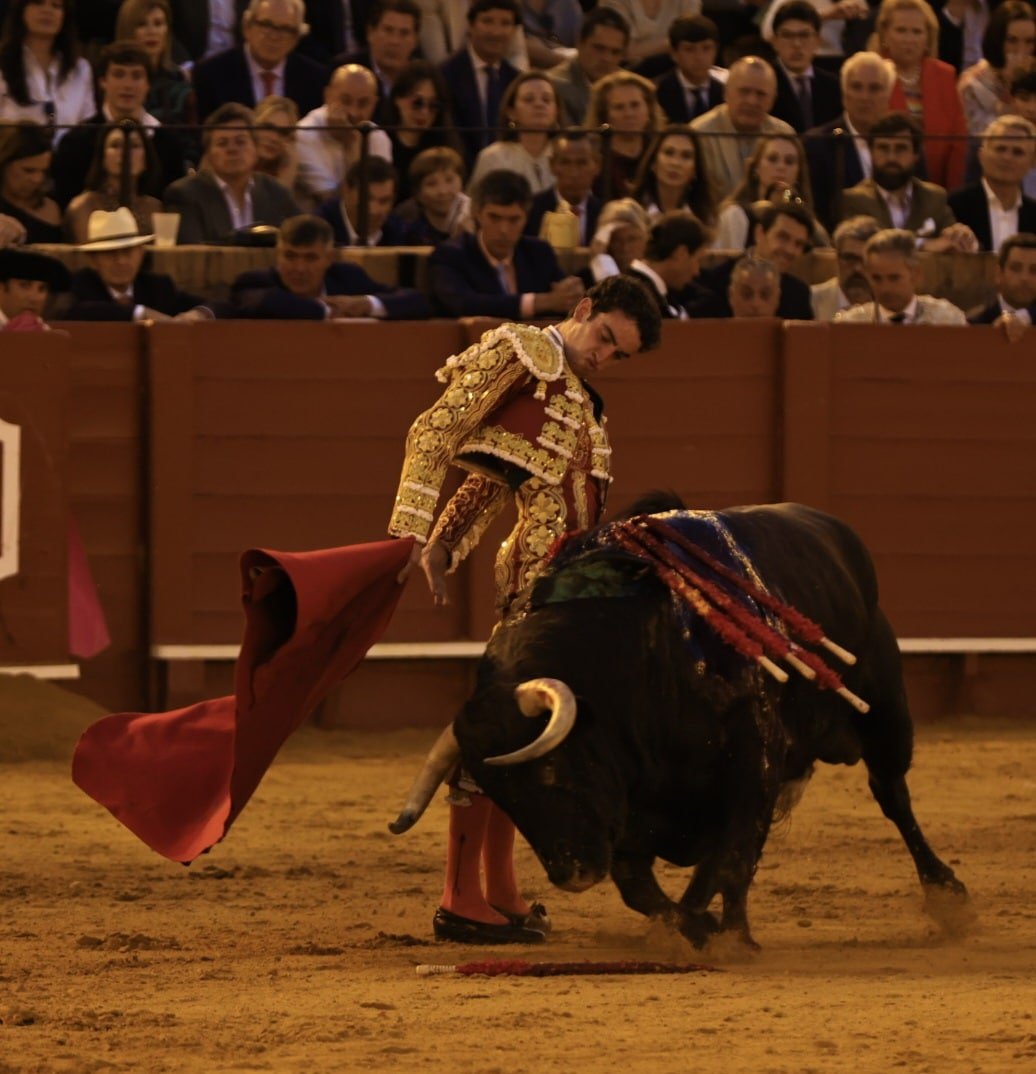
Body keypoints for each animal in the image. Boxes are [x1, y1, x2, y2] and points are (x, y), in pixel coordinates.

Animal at [390, 500, 970, 948]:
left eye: (551, 772)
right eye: (504, 799)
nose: (572, 875)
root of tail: (831, 529)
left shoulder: (754, 762)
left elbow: (731, 855)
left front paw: (725, 935)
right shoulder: (630, 807)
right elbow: (641, 883)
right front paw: (696, 926)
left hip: (886, 715)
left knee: (892, 795)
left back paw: (948, 897)